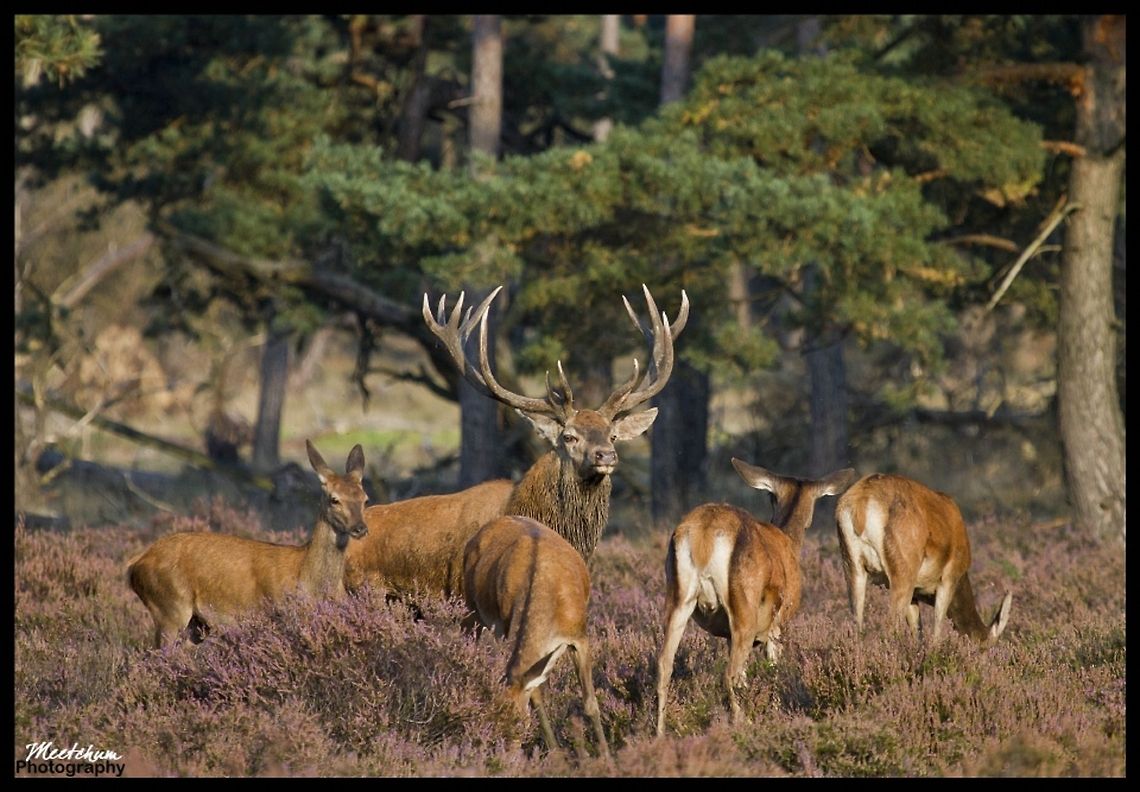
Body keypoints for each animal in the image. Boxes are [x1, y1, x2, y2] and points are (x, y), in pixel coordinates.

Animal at [127, 440, 369, 647]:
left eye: (364, 498)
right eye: (334, 499)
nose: (360, 528)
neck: (307, 577)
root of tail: (134, 564)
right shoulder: (279, 614)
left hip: (194, 625)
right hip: (169, 608)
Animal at [463, 515, 609, 758]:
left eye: (521, 723)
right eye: (492, 724)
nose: (507, 759)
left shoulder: (580, 635)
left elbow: (590, 702)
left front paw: (606, 757)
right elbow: (536, 694)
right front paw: (556, 753)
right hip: (471, 606)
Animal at [655, 458, 856, 735]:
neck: (790, 541)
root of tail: (703, 536)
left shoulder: (730, 635)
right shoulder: (778, 622)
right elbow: (773, 668)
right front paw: (774, 710)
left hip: (677, 596)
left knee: (664, 665)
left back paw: (659, 733)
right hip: (744, 603)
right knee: (730, 674)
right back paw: (744, 724)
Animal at [834, 472, 1012, 646]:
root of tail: (861, 501)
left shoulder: (915, 595)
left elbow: (918, 633)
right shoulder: (948, 580)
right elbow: (936, 632)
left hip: (854, 569)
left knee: (857, 624)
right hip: (902, 577)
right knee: (891, 625)